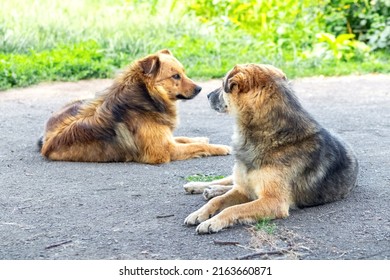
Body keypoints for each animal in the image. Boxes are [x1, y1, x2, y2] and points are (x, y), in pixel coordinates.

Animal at [184, 63, 358, 234]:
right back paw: (199, 186)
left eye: (222, 84)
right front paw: (200, 213)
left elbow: (233, 209)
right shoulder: (243, 190)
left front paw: (212, 221)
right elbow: (217, 201)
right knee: (227, 181)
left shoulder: (273, 201)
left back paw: (211, 189)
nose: (207, 95)